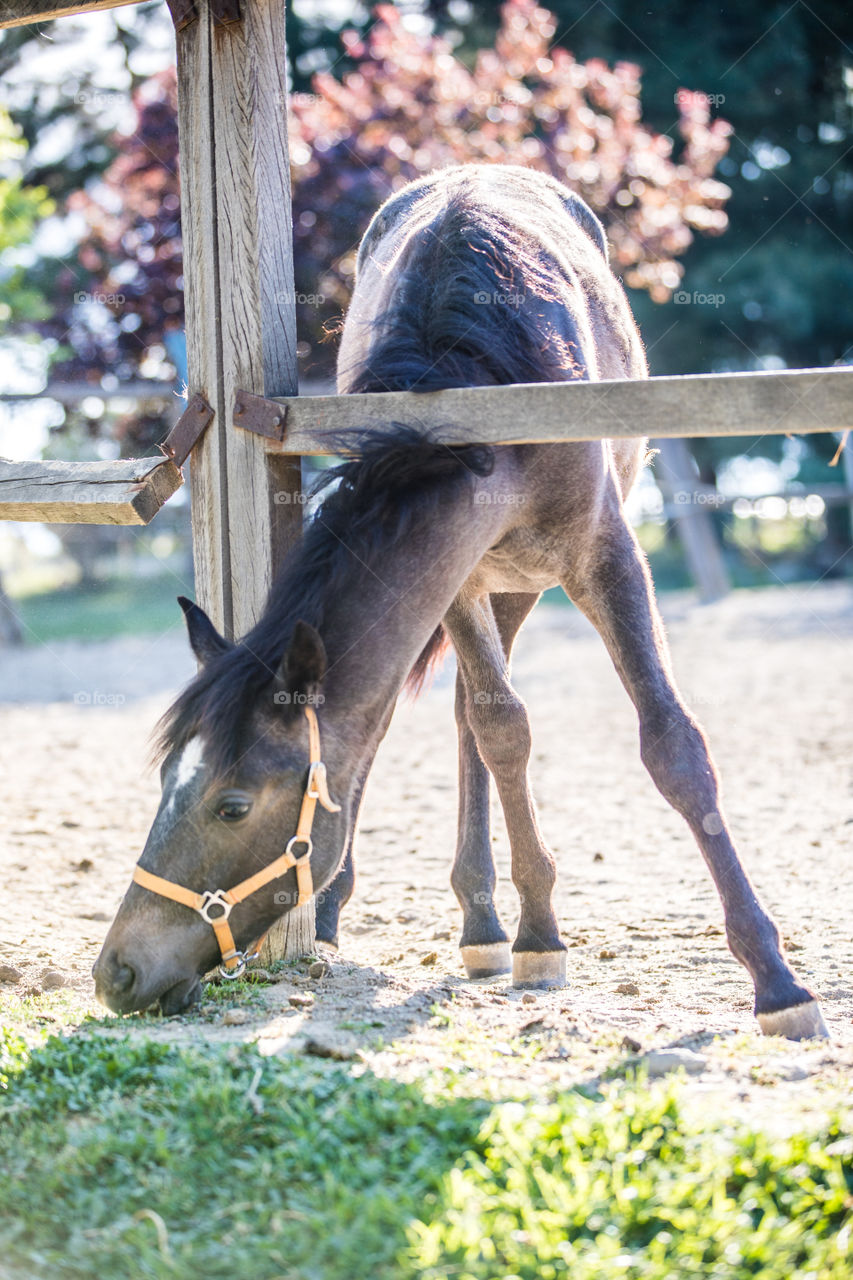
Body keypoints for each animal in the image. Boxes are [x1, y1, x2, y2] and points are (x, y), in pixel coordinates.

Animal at [92, 160, 824, 1039]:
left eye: (231, 806)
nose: (117, 972)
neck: (477, 392)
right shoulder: (460, 579)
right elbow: (499, 731)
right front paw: (539, 936)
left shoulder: (603, 557)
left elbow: (671, 747)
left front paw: (775, 980)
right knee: (454, 721)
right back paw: (442, 919)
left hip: (519, 587)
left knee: (468, 719)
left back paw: (485, 923)